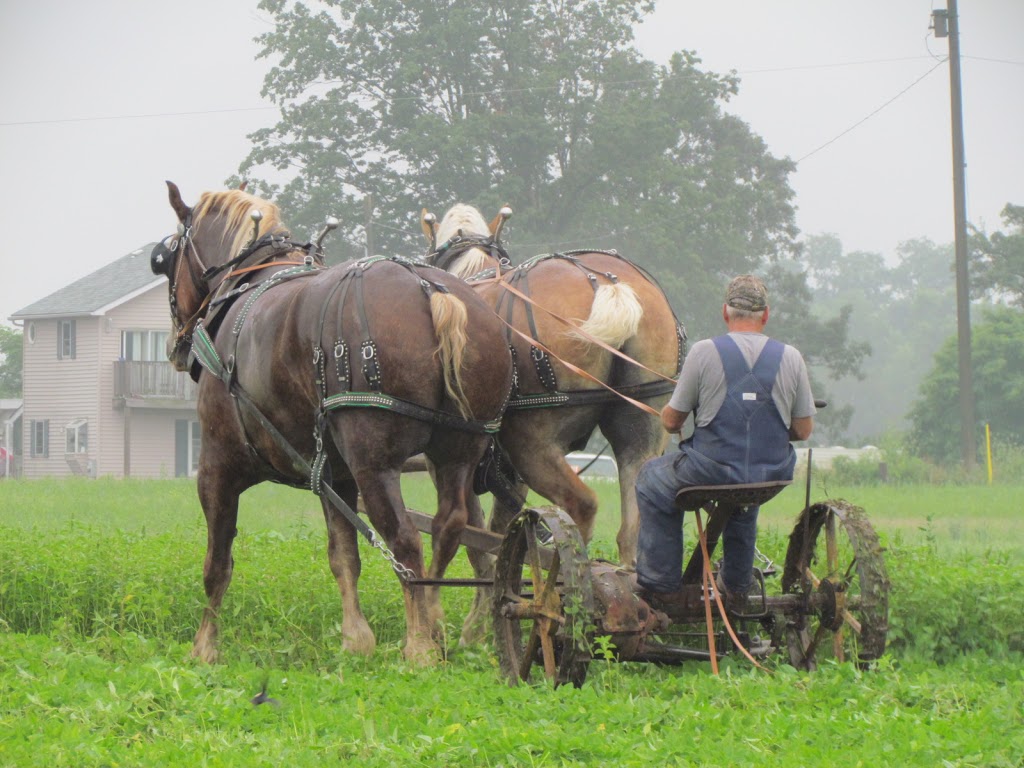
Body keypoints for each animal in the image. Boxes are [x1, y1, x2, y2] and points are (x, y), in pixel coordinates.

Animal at [152, 183, 516, 663]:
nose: (175, 345)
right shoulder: (333, 475)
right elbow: (344, 555)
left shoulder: (217, 466)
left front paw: (204, 648)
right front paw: (356, 639)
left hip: (375, 464)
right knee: (450, 528)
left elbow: (217, 564)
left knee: (405, 540)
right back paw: (435, 622)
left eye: (165, 258)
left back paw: (419, 645)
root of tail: (429, 289)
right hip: (457, 454)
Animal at [423, 202, 688, 643]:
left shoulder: (454, 460)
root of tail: (605, 283)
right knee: (631, 526)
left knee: (580, 507)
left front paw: (470, 630)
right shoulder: (506, 471)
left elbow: (474, 539)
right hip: (641, 430)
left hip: (534, 444)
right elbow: (498, 534)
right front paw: (485, 619)